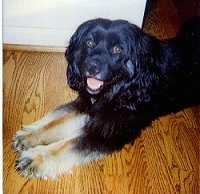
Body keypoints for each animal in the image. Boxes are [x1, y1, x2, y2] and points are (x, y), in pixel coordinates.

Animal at [12, 17, 200, 179]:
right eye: (89, 42)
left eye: (118, 49)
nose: (91, 66)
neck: (119, 89)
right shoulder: (88, 106)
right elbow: (54, 123)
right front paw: (28, 136)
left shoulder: (108, 130)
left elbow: (68, 144)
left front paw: (35, 159)